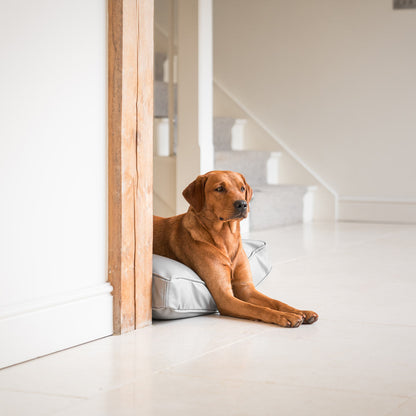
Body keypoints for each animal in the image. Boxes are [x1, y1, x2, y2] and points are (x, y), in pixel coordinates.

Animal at [153, 171, 318, 326]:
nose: (242, 204)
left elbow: (276, 302)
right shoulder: (224, 297)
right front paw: (285, 316)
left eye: (242, 188)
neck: (226, 237)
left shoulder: (246, 289)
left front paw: (300, 311)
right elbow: (258, 309)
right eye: (220, 188)